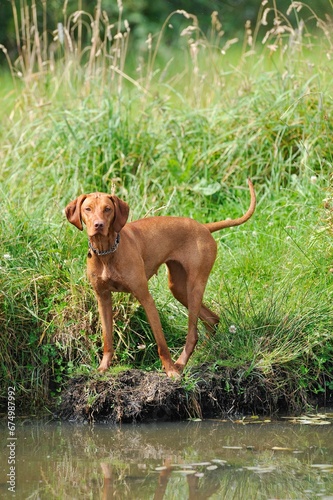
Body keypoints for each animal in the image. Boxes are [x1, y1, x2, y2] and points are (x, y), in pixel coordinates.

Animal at [66, 179, 255, 376]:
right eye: (88, 209)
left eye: (107, 209)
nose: (99, 225)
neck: (107, 253)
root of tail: (203, 227)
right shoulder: (102, 298)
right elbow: (107, 339)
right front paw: (103, 367)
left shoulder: (145, 297)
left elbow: (161, 343)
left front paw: (170, 370)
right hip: (178, 288)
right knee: (212, 319)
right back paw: (200, 354)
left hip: (194, 286)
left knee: (193, 333)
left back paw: (180, 364)